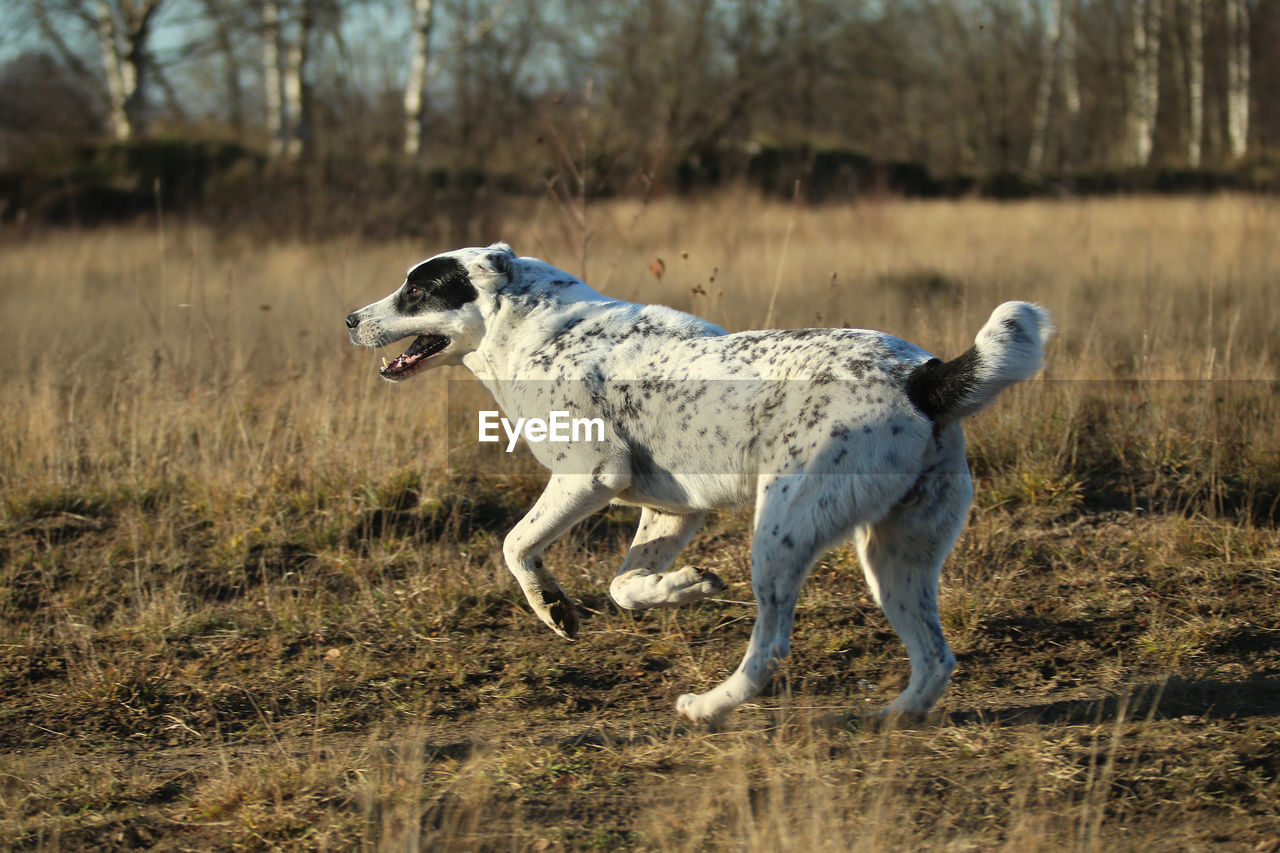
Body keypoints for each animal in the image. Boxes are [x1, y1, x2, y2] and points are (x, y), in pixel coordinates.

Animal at [345, 240, 1054, 722]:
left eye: (417, 291)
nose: (349, 320)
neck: (533, 329)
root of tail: (925, 378)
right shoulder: (673, 511)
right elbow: (625, 586)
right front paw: (686, 585)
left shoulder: (591, 475)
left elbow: (517, 545)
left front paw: (552, 608)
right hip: (895, 559)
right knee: (935, 658)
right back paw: (891, 720)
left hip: (780, 534)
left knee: (770, 648)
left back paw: (710, 706)